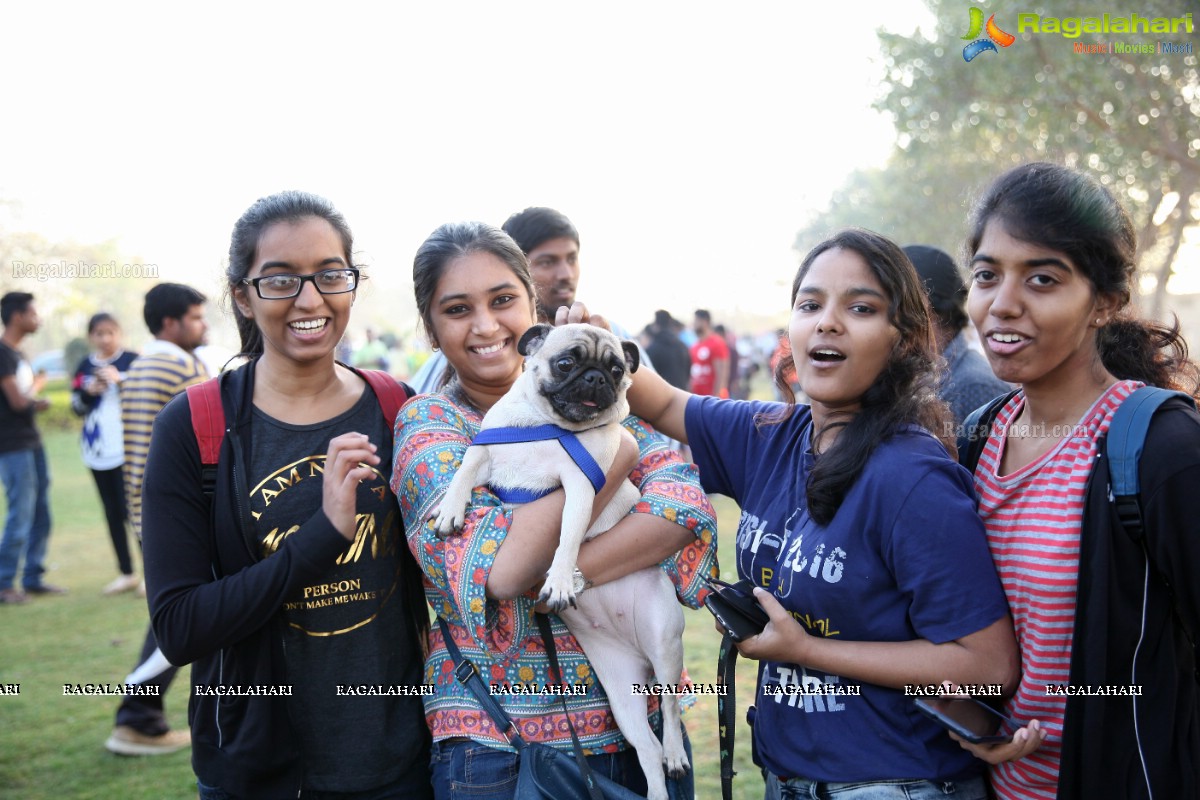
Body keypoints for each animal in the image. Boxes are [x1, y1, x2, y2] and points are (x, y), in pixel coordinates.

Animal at [436, 323, 691, 800]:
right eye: (566, 362)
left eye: (616, 369)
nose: (595, 378)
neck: (544, 427)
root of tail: (635, 650)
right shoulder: (485, 456)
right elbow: (463, 469)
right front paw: (449, 509)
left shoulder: (579, 487)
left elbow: (567, 538)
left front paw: (558, 579)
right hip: (621, 693)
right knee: (645, 747)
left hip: (664, 641)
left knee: (667, 708)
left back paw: (675, 756)